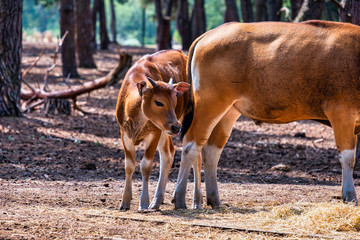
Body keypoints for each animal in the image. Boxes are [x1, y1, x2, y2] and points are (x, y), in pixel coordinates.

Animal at [116, 50, 193, 210]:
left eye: (175, 101)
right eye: (158, 102)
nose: (176, 126)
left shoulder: (154, 132)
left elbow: (146, 166)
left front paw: (144, 202)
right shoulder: (124, 133)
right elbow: (129, 166)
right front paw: (125, 202)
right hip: (165, 131)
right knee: (169, 153)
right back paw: (157, 201)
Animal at [173, 19, 360, 209]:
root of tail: (207, 35)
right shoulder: (341, 114)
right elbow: (347, 157)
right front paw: (350, 195)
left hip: (229, 111)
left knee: (211, 150)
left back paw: (214, 200)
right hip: (209, 104)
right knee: (191, 146)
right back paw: (180, 199)